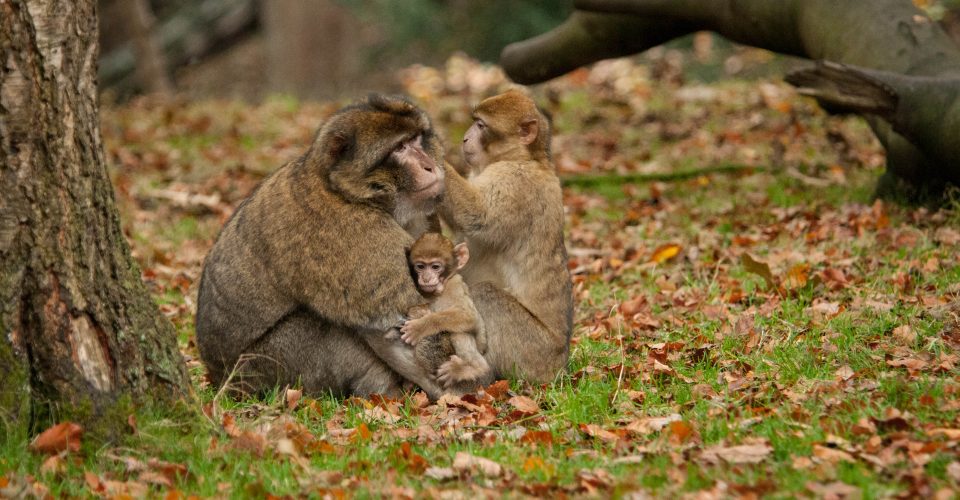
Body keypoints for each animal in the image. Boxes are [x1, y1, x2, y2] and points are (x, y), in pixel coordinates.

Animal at [398, 232, 492, 392]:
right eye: (420, 266)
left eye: (435, 267)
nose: (426, 278)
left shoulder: (455, 285)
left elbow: (469, 316)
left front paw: (420, 327)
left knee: (459, 333)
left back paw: (473, 368)